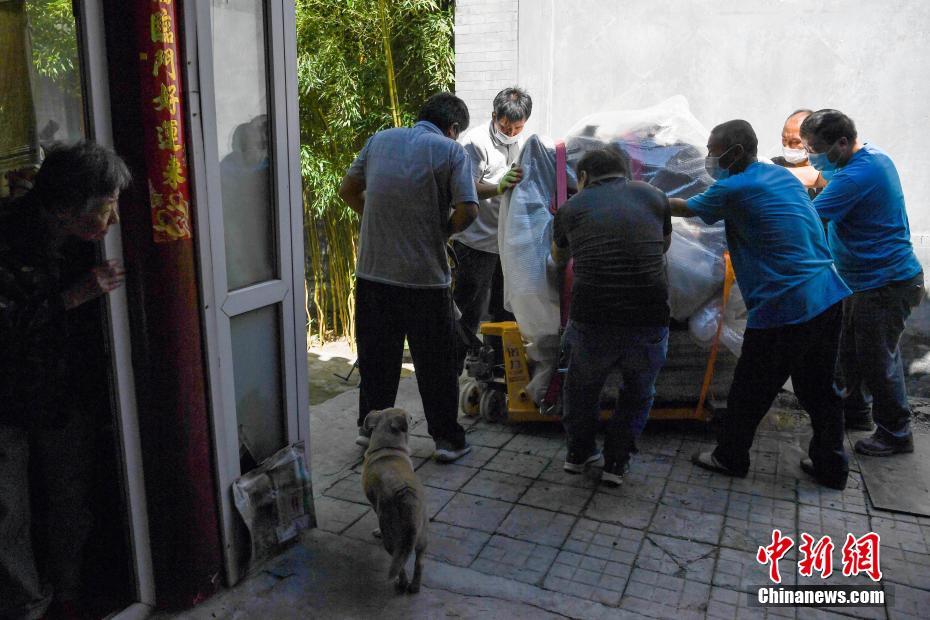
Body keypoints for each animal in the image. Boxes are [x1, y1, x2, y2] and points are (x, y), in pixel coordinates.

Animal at [358, 410, 428, 592]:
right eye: (410, 417)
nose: (415, 417)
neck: (387, 447)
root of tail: (406, 494)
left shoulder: (376, 507)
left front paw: (377, 531)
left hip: (391, 538)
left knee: (400, 563)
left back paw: (401, 582)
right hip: (423, 535)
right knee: (419, 561)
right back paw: (415, 586)